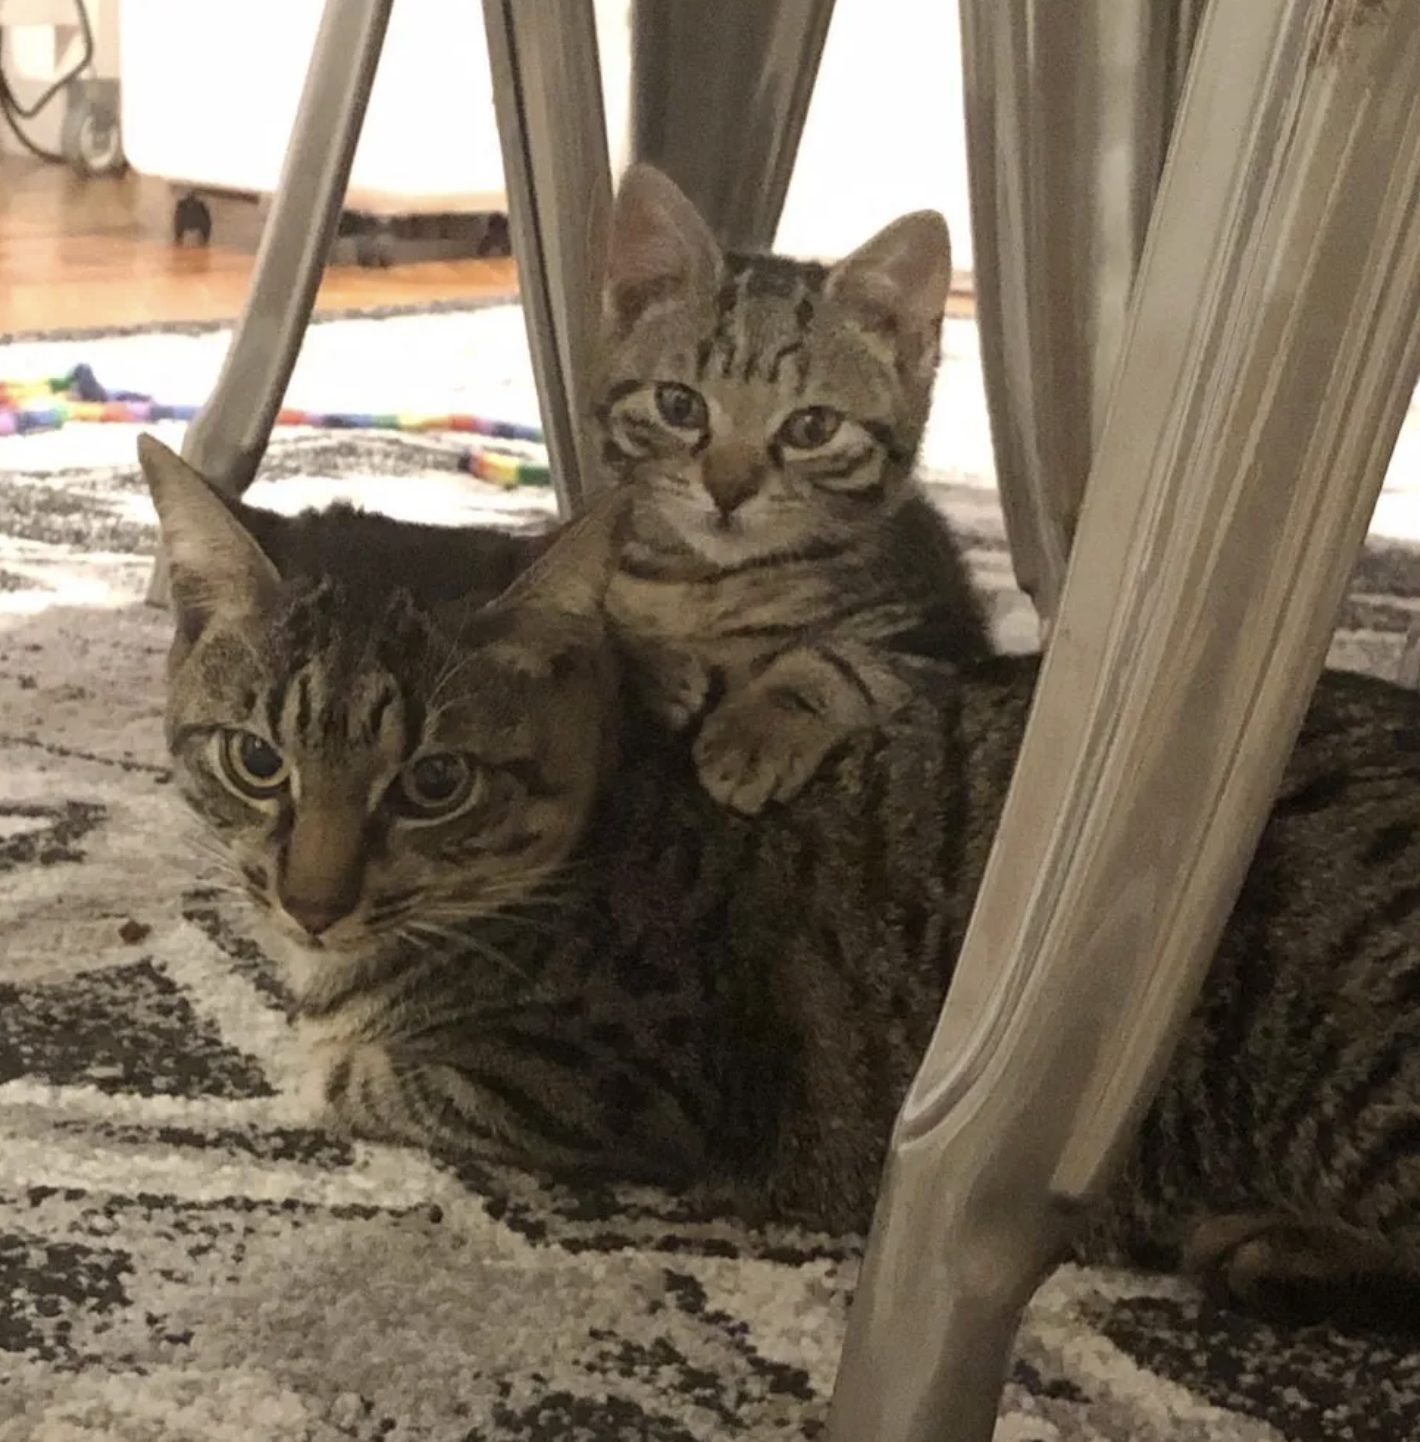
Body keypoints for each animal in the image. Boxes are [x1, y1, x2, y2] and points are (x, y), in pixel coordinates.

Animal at [141, 432, 1420, 1327]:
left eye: (435, 781)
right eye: (257, 759)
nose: (310, 900)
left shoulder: (606, 1078)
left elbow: (357, 1076)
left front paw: (318, 1059)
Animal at [596, 164, 990, 815]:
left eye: (812, 428)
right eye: (679, 406)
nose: (727, 491)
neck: (711, 586)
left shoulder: (936, 642)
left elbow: (846, 662)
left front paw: (755, 729)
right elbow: (609, 623)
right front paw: (653, 663)